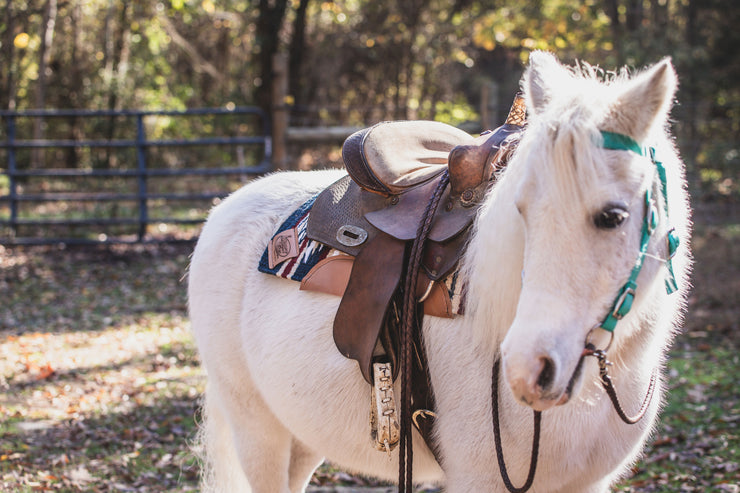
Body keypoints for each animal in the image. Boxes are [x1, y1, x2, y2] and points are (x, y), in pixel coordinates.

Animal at [188, 52, 692, 490]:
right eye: (521, 211)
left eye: (613, 216)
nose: (528, 370)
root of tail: (224, 209)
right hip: (257, 426)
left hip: (302, 431)